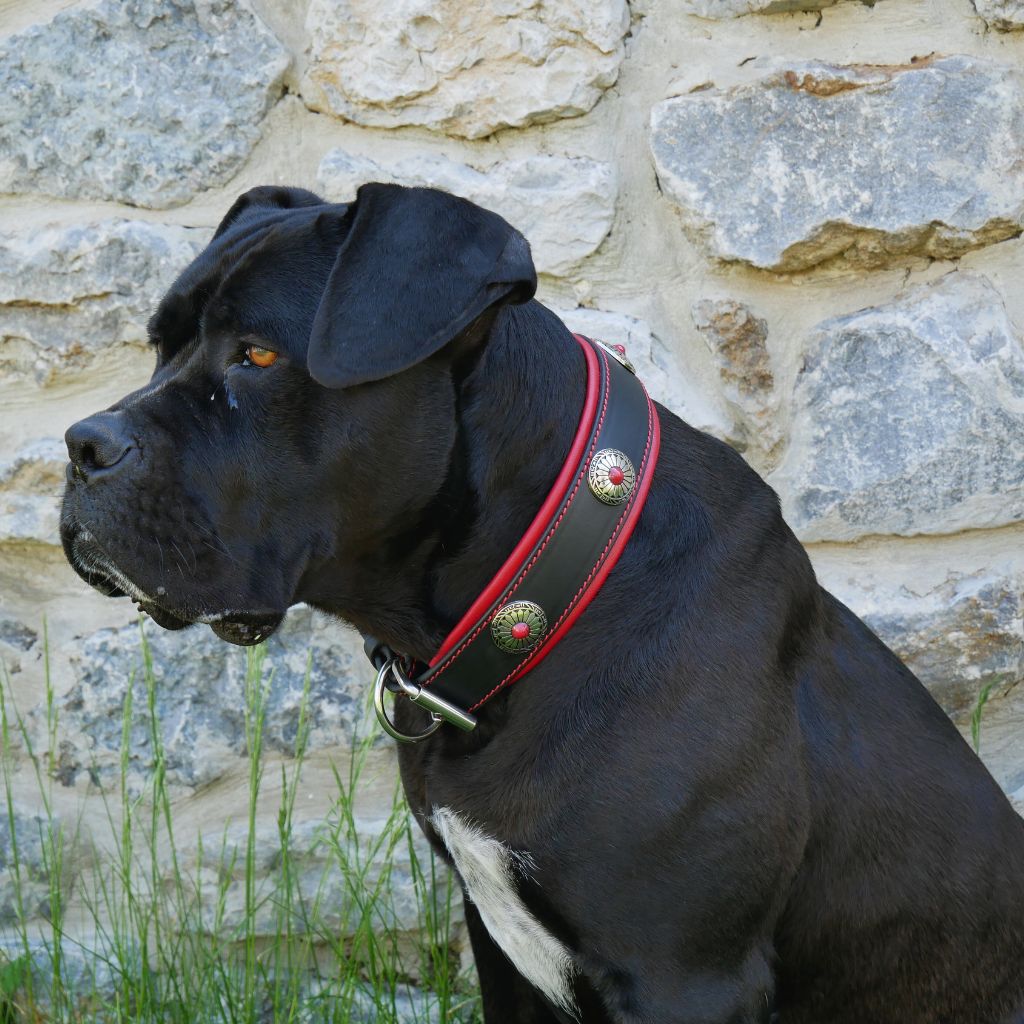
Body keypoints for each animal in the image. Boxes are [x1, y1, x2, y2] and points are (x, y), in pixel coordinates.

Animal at [61, 186, 1024, 1024]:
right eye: (158, 346)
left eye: (257, 356)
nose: (83, 444)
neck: (537, 602)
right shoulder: (499, 944)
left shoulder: (685, 974)